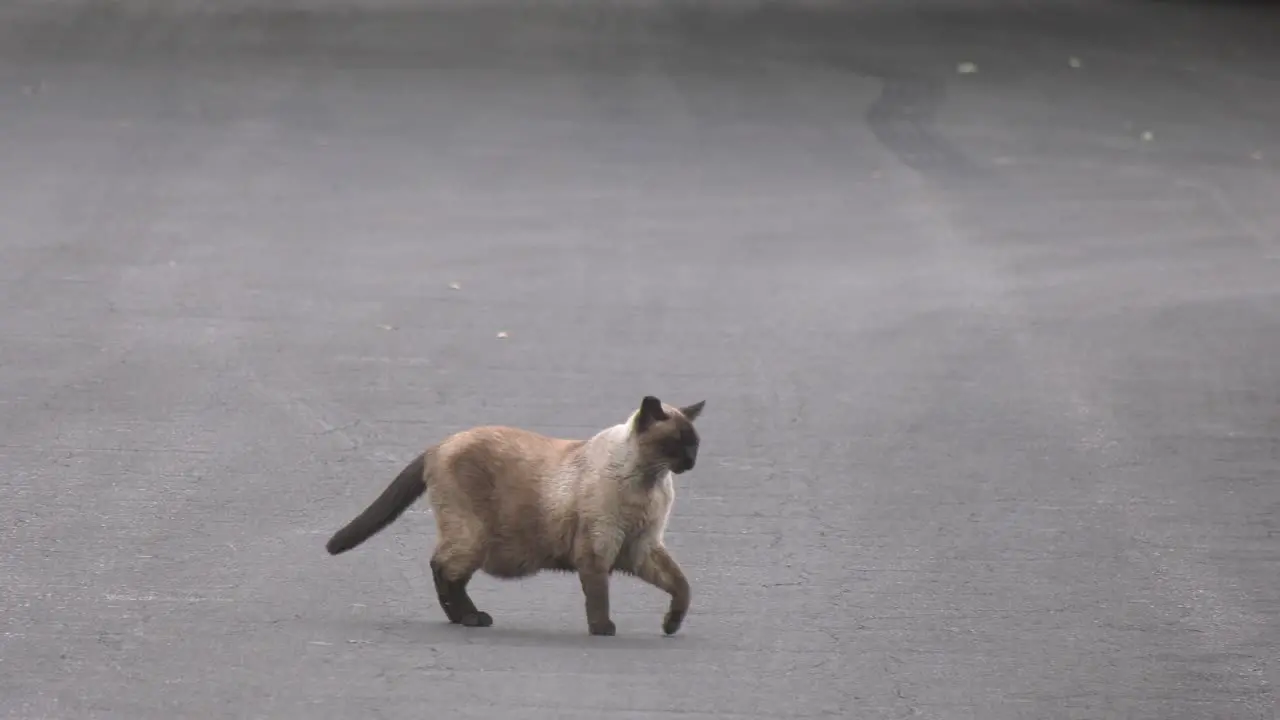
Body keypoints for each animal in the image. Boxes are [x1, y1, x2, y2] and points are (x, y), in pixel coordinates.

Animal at [325, 394, 706, 635]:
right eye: (675, 443)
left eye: (695, 443)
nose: (691, 462)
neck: (647, 481)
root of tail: (439, 445)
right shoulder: (598, 548)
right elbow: (599, 595)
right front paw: (602, 630)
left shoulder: (642, 547)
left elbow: (682, 586)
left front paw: (671, 625)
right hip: (473, 539)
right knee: (441, 568)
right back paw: (471, 618)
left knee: (447, 572)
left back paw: (466, 617)